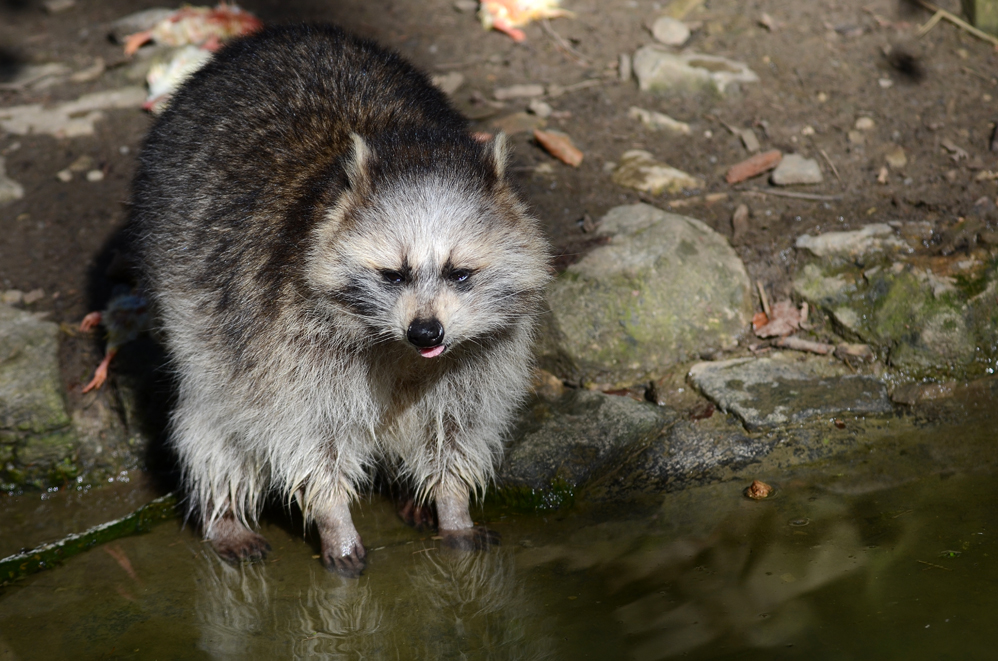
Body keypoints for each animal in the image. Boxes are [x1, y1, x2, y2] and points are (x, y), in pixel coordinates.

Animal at [133, 25, 552, 576]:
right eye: (393, 274)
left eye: (460, 273)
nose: (426, 331)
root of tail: (280, 35)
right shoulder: (285, 338)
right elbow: (308, 438)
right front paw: (335, 518)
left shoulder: (481, 359)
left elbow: (454, 430)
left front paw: (452, 503)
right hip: (186, 300)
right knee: (212, 415)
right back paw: (224, 510)